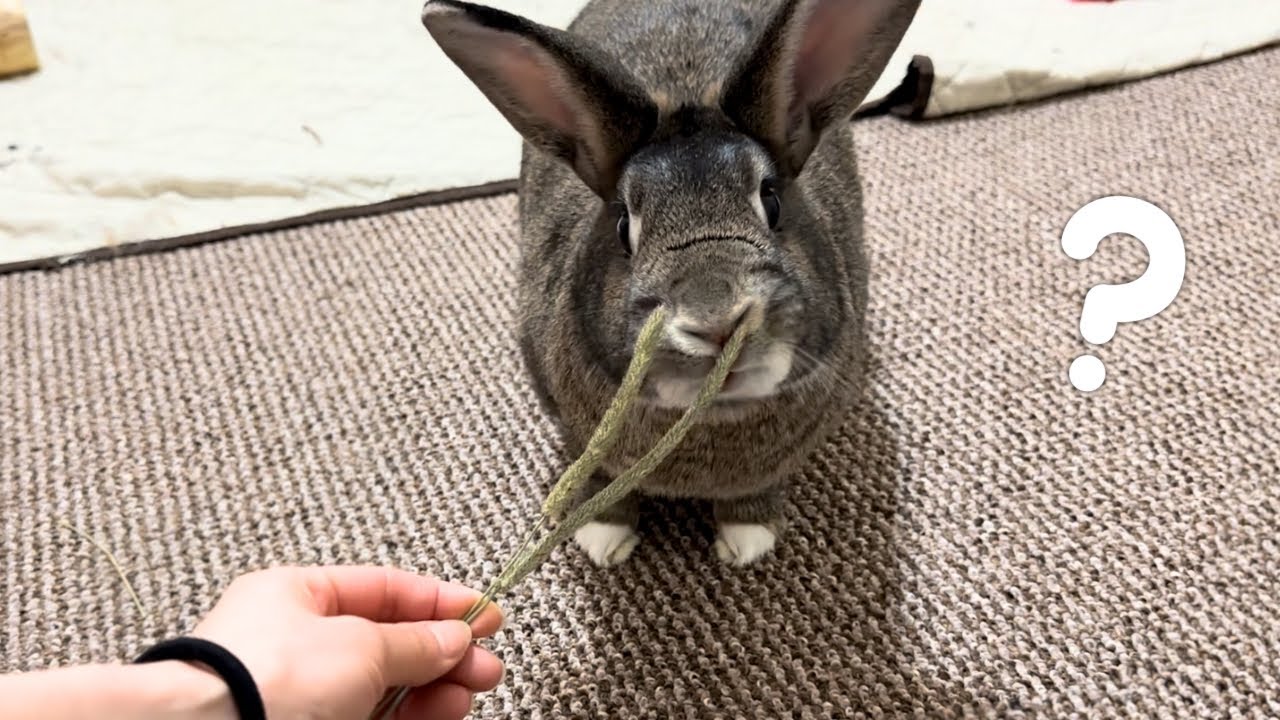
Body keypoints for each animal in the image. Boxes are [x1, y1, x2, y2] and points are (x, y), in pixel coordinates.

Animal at [423, 0, 920, 566]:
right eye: (624, 225)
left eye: (771, 200)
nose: (717, 322)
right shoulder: (574, 432)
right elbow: (597, 476)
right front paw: (603, 540)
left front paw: (747, 541)